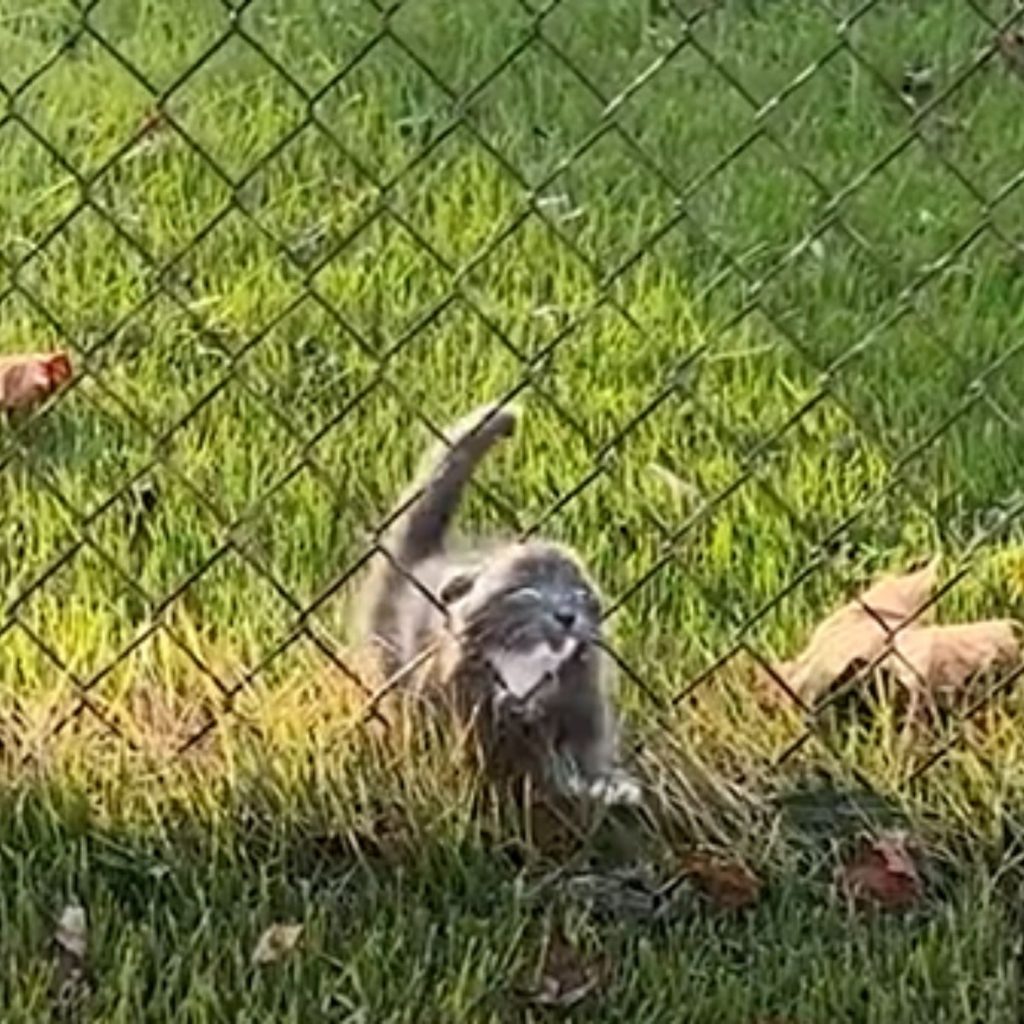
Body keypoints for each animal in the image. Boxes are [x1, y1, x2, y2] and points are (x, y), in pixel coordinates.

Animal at [360, 401, 638, 806]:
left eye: (579, 592)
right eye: (524, 590)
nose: (566, 615)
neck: (525, 668)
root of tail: (422, 559)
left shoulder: (582, 701)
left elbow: (588, 748)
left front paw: (605, 784)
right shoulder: (459, 692)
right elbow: (474, 754)